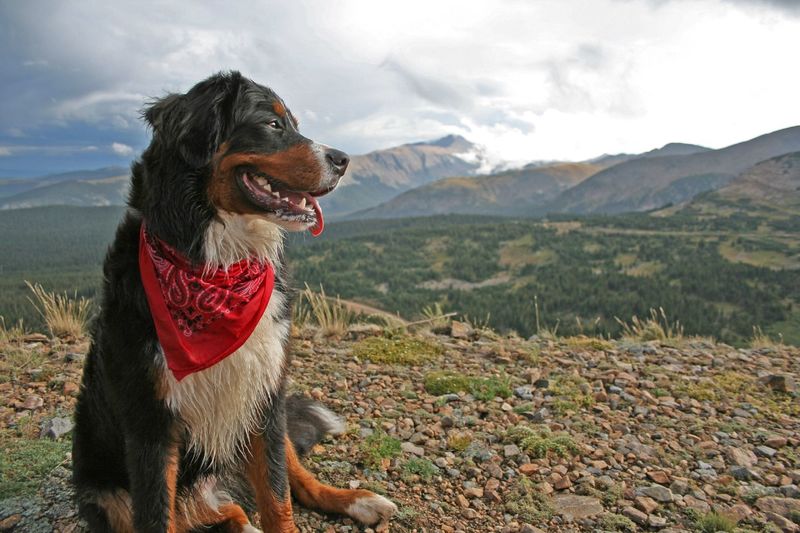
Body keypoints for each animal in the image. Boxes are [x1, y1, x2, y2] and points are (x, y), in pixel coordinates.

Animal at [73, 71, 398, 532]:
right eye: (273, 125)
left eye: (295, 124)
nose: (344, 159)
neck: (218, 267)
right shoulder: (150, 424)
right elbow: (157, 515)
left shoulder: (265, 395)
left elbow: (278, 497)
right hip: (108, 494)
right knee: (216, 513)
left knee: (292, 482)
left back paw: (360, 501)